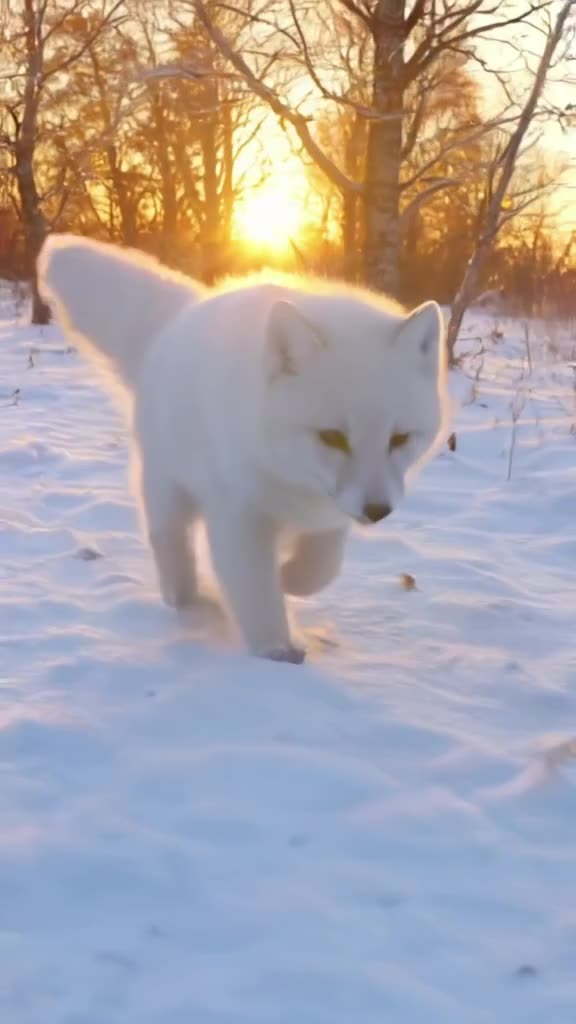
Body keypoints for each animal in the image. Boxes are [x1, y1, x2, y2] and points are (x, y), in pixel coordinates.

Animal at [38, 234, 448, 663]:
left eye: (399, 439)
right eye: (333, 437)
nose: (378, 511)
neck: (284, 467)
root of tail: (182, 314)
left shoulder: (329, 513)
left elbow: (322, 567)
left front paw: (291, 578)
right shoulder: (237, 514)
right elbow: (256, 590)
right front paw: (276, 650)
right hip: (168, 486)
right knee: (169, 540)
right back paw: (184, 597)